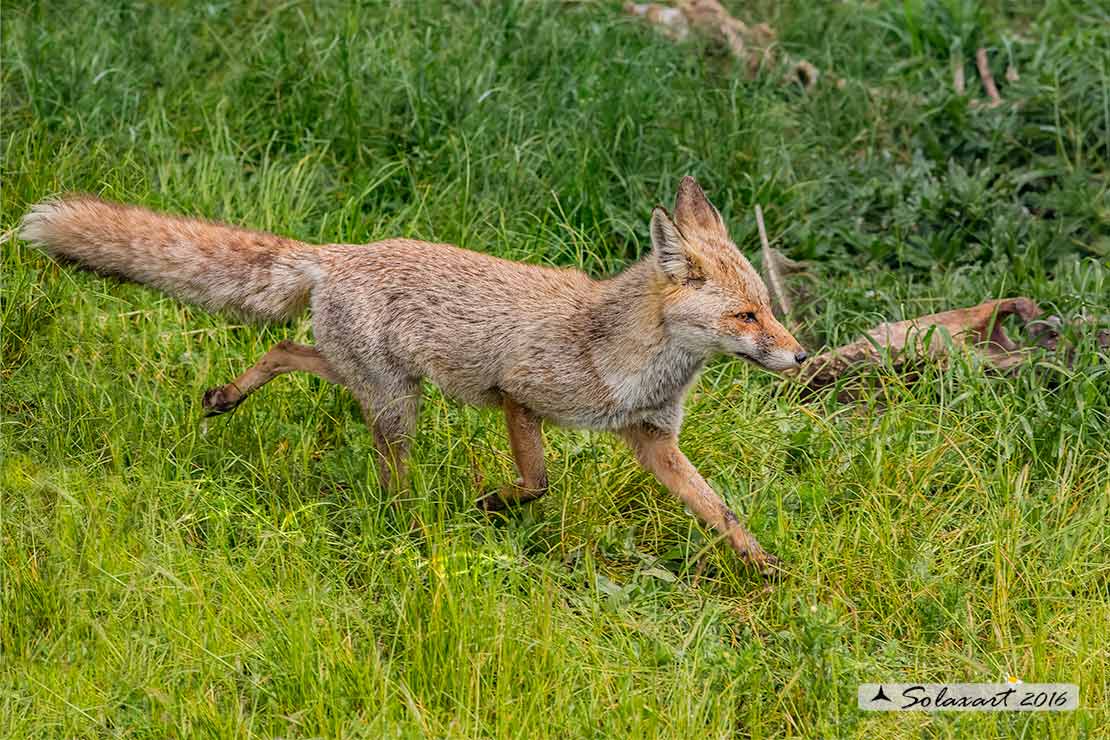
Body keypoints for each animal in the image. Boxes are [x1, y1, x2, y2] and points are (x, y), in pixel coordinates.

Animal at [21, 177, 808, 572]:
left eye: (770, 311)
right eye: (746, 317)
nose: (800, 358)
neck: (625, 357)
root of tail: (336, 252)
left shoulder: (652, 440)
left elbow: (722, 512)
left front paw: (766, 568)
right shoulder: (518, 395)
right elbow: (536, 481)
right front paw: (491, 505)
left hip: (373, 381)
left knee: (285, 351)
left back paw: (226, 397)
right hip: (396, 404)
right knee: (390, 485)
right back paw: (414, 537)